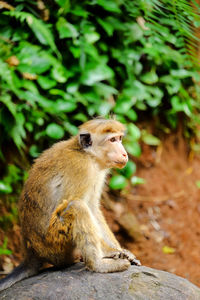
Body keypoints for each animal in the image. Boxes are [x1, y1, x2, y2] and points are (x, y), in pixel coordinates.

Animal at [0, 118, 141, 292]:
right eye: (112, 140)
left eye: (119, 138)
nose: (124, 153)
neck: (86, 154)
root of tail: (32, 252)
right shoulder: (82, 169)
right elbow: (74, 203)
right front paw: (110, 252)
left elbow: (93, 207)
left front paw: (119, 250)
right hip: (55, 244)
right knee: (76, 206)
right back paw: (98, 264)